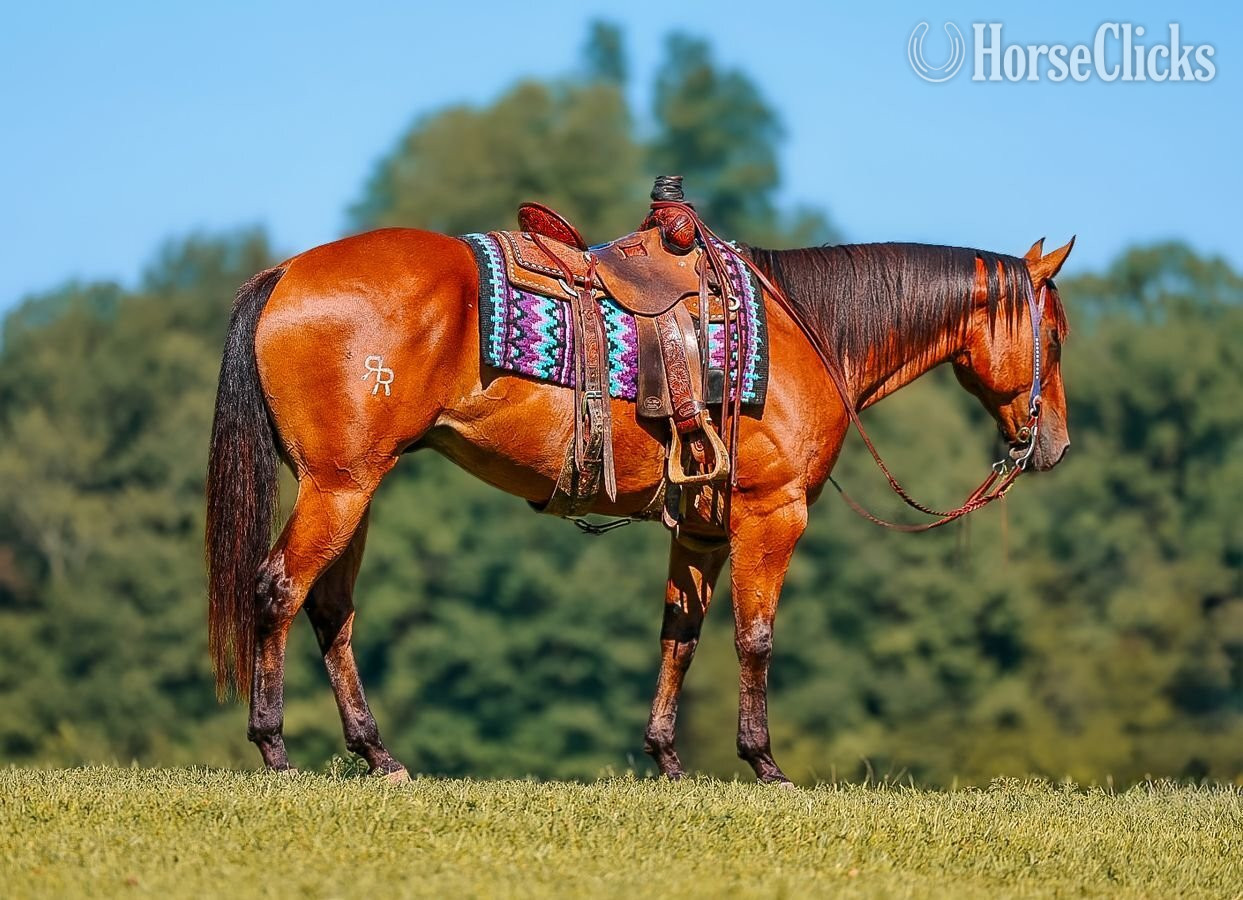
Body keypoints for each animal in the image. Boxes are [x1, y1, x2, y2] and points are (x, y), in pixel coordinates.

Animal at [205, 225, 1073, 784]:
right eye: (1057, 338)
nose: (1055, 446)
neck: (809, 333)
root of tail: (283, 275)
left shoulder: (701, 529)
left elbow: (679, 637)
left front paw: (665, 758)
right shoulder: (771, 512)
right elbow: (754, 638)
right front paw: (763, 762)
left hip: (352, 486)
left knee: (330, 610)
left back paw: (376, 753)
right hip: (340, 486)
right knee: (278, 590)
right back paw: (273, 747)